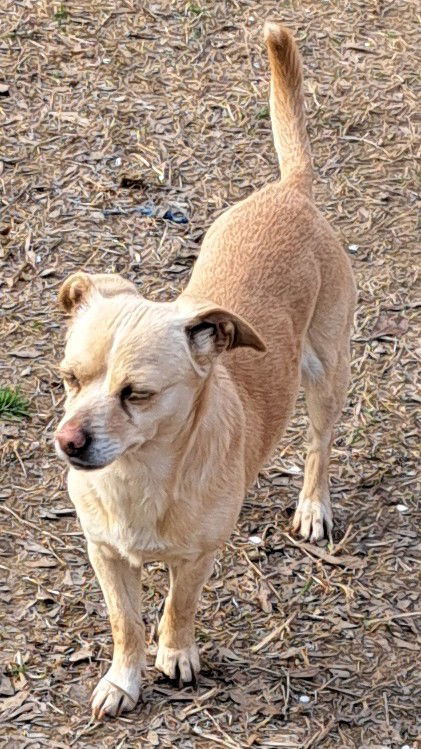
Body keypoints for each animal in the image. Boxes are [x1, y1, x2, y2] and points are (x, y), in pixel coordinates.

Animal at [53, 20, 354, 716]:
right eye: (70, 379)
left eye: (136, 393)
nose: (68, 442)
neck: (139, 477)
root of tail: (290, 190)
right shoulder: (104, 553)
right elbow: (125, 622)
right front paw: (123, 679)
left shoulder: (198, 556)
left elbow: (177, 607)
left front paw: (176, 654)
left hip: (327, 374)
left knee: (320, 446)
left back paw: (313, 507)